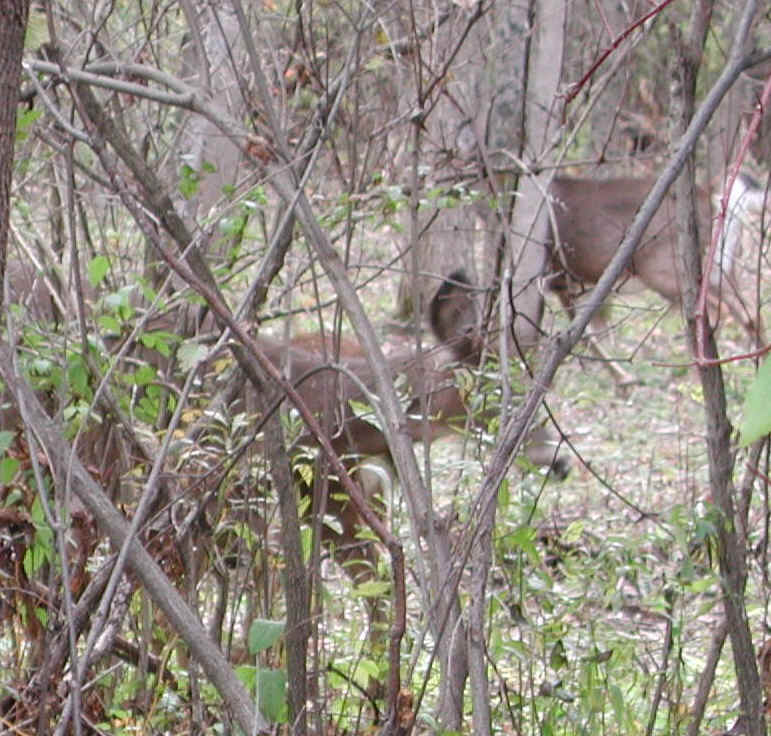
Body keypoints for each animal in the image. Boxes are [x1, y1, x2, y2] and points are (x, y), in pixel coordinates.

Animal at [544, 174, 768, 385]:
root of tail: (711, 199)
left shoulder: (556, 279)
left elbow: (580, 334)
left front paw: (623, 380)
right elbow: (585, 332)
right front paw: (623, 380)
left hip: (664, 269)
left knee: (714, 310)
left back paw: (696, 375)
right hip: (716, 268)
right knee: (749, 312)